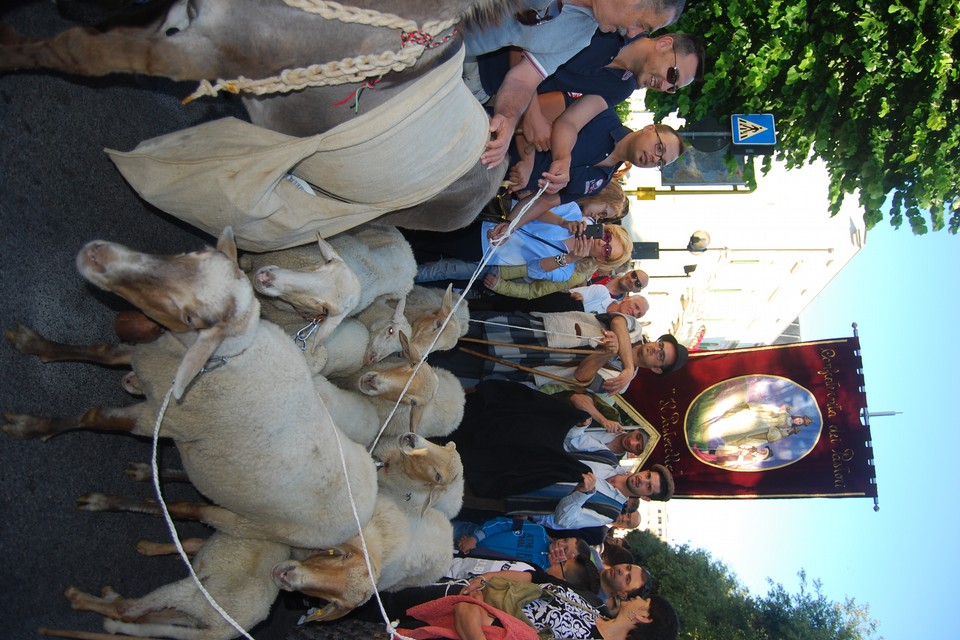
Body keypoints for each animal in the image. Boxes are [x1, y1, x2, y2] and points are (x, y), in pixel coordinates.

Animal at [4, 230, 378, 552]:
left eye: (190, 316)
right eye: (315, 265)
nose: (97, 254)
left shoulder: (157, 418)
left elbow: (92, 416)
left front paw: (29, 426)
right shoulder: (149, 356)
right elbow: (101, 352)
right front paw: (35, 345)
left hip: (242, 522)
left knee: (186, 510)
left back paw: (111, 502)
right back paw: (148, 471)